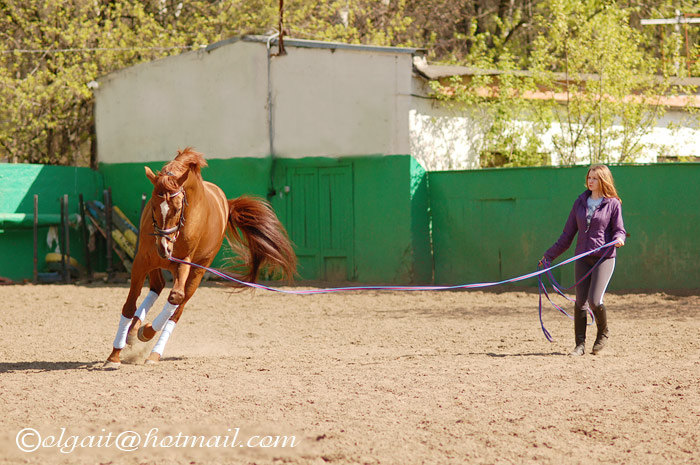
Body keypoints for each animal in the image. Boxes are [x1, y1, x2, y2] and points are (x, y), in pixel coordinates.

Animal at [105, 148, 296, 366]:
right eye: (153, 206)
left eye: (178, 208)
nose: (164, 247)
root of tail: (226, 202)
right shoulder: (142, 261)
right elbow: (129, 306)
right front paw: (114, 355)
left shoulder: (184, 264)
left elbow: (176, 297)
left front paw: (144, 334)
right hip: (156, 263)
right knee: (158, 286)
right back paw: (133, 331)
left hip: (197, 270)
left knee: (177, 307)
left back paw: (152, 347)